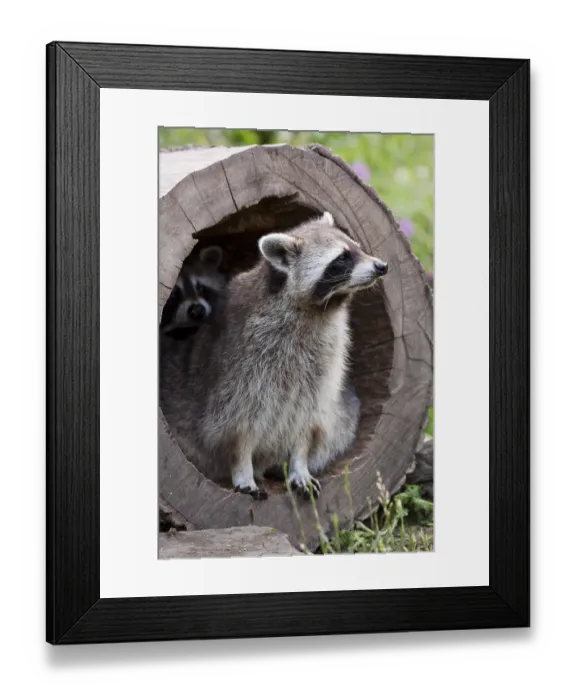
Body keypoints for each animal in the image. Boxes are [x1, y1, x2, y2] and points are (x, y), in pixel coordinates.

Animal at [159, 212, 389, 500]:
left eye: (357, 248)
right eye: (342, 258)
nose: (382, 266)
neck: (318, 309)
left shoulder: (325, 363)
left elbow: (308, 421)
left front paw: (300, 464)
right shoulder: (241, 360)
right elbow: (236, 422)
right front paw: (242, 466)